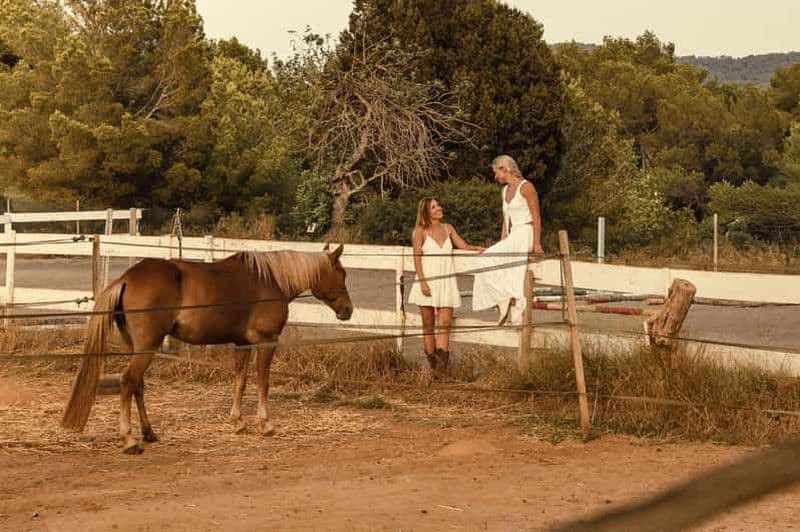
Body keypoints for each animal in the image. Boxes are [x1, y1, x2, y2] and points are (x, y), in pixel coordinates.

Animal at [61, 244, 353, 454]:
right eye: (341, 274)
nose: (348, 310)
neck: (271, 281)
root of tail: (127, 278)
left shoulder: (242, 343)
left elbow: (240, 381)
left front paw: (238, 422)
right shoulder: (267, 341)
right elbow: (263, 382)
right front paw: (265, 424)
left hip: (138, 347)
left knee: (138, 386)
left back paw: (149, 433)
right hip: (145, 348)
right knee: (128, 382)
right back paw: (130, 440)